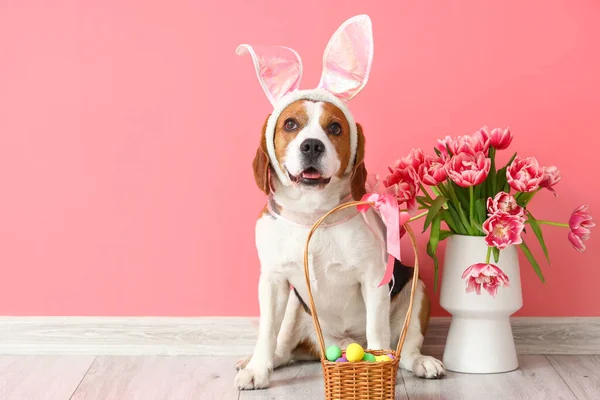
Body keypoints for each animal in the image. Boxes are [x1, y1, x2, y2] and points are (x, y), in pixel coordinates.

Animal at [237, 14, 442, 388]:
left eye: (334, 128)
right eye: (290, 124)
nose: (312, 145)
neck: (312, 214)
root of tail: (341, 343)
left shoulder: (374, 278)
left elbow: (377, 334)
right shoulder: (272, 281)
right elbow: (266, 333)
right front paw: (258, 370)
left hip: (416, 289)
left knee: (406, 346)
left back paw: (419, 361)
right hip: (295, 309)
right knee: (283, 347)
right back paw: (264, 361)